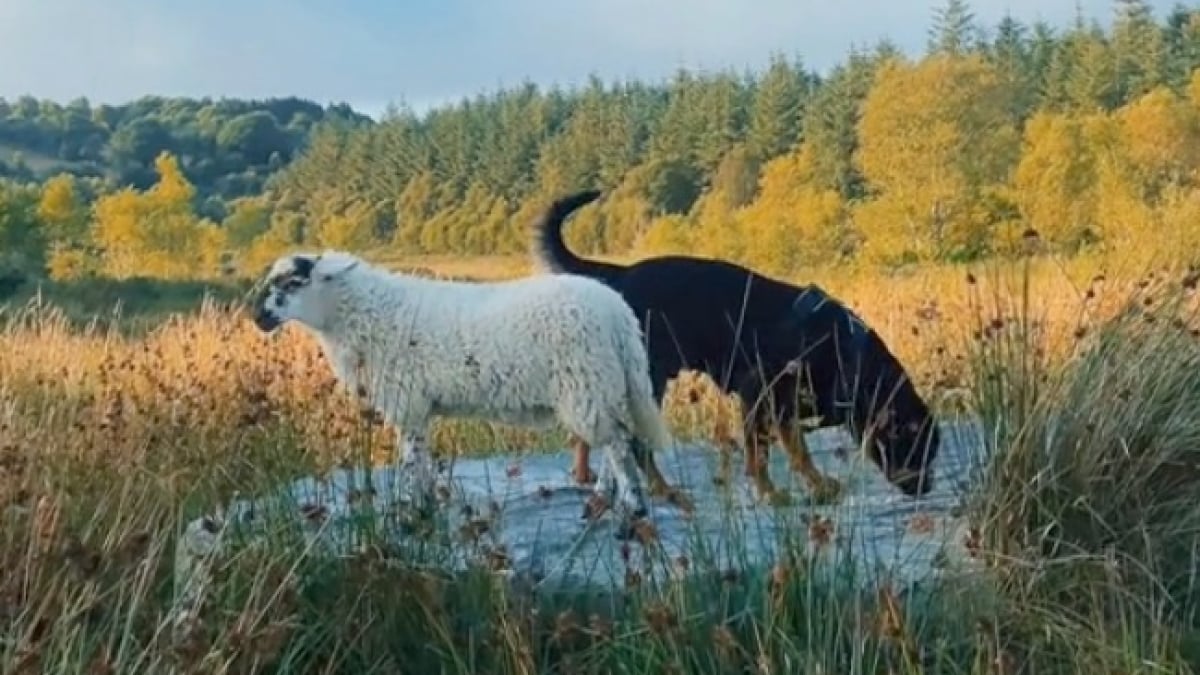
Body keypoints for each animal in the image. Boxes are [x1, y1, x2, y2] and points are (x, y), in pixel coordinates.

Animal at [248, 249, 691, 533]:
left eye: (293, 282)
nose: (258, 317)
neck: (361, 315)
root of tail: (619, 313)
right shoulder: (419, 408)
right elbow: (421, 459)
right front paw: (424, 507)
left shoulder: (407, 402)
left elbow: (410, 462)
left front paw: (410, 515)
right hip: (601, 388)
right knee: (617, 444)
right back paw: (600, 504)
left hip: (588, 385)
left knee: (619, 445)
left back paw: (630, 513)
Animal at [532, 187, 936, 499]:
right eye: (918, 450)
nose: (926, 488)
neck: (845, 351)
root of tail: (621, 274)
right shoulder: (756, 392)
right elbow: (759, 456)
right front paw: (772, 495)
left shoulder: (785, 407)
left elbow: (797, 450)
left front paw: (818, 486)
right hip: (646, 382)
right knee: (637, 445)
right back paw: (665, 491)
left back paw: (586, 476)